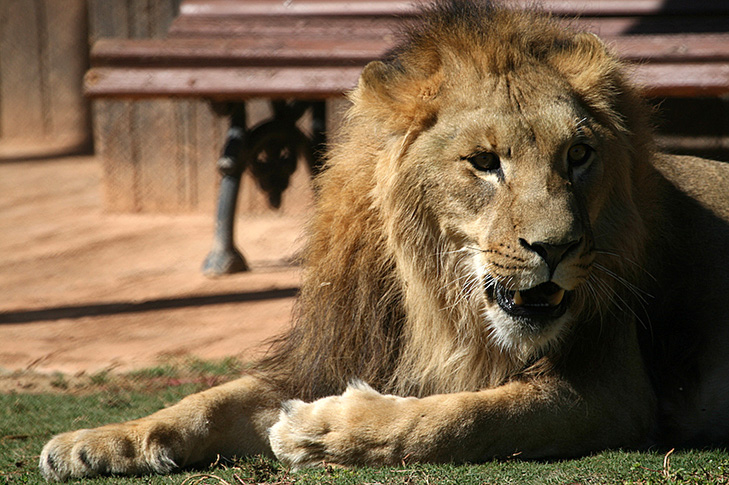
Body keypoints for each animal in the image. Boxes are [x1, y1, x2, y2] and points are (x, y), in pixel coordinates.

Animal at [38, 0, 728, 476]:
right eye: (484, 162)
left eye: (579, 155)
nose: (555, 249)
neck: (438, 306)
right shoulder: (334, 352)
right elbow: (208, 400)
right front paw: (96, 441)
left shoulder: (609, 390)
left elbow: (470, 415)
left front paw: (322, 432)